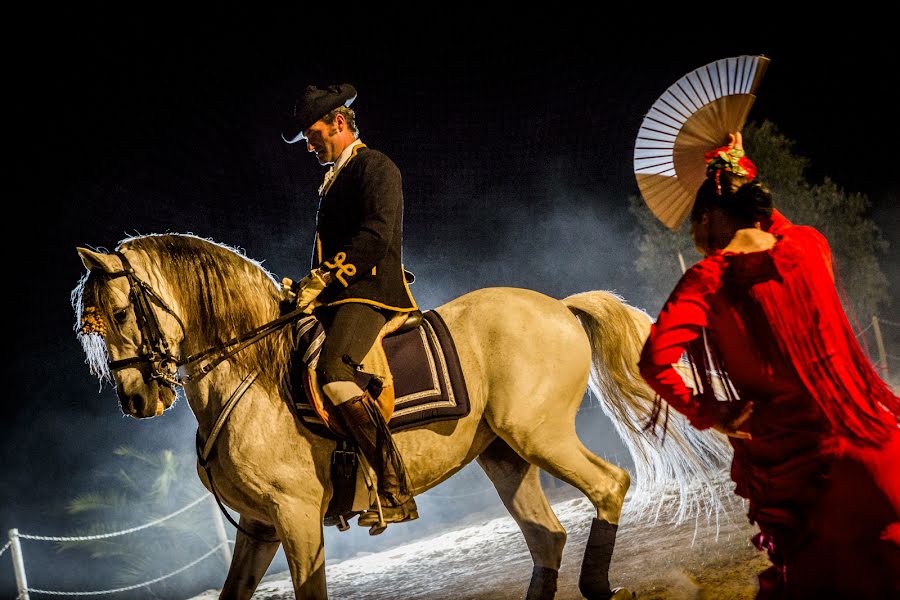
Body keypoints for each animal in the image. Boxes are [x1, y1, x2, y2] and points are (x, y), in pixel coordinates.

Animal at [72, 232, 732, 596]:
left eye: (122, 312)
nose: (137, 401)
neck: (252, 374)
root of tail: (558, 306)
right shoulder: (259, 526)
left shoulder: (296, 517)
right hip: (504, 455)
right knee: (546, 537)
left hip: (540, 437)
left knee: (610, 485)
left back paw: (600, 585)